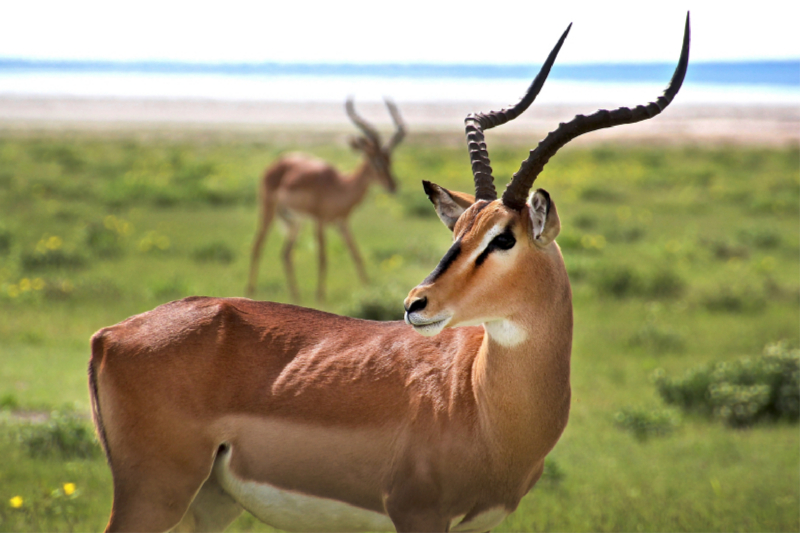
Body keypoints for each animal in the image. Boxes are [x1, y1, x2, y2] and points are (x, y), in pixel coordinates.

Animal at [245, 97, 406, 302]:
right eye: (375, 160)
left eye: (389, 160)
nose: (393, 186)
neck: (340, 186)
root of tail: (275, 164)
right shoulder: (319, 221)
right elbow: (322, 257)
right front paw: (320, 296)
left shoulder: (341, 223)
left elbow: (356, 254)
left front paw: (369, 290)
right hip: (268, 209)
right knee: (257, 245)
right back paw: (250, 291)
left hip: (295, 221)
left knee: (286, 253)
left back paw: (295, 296)